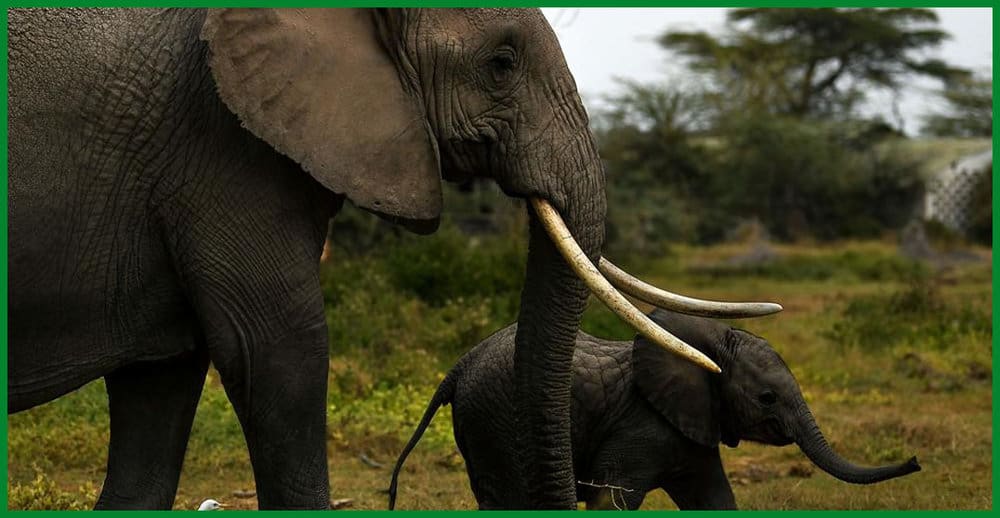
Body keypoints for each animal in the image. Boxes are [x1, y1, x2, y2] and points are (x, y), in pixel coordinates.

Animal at [389, 309, 921, 510]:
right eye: (767, 398)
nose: (916, 461)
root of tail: (458, 366)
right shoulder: (641, 425)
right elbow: (613, 499)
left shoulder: (693, 428)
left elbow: (714, 499)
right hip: (496, 419)